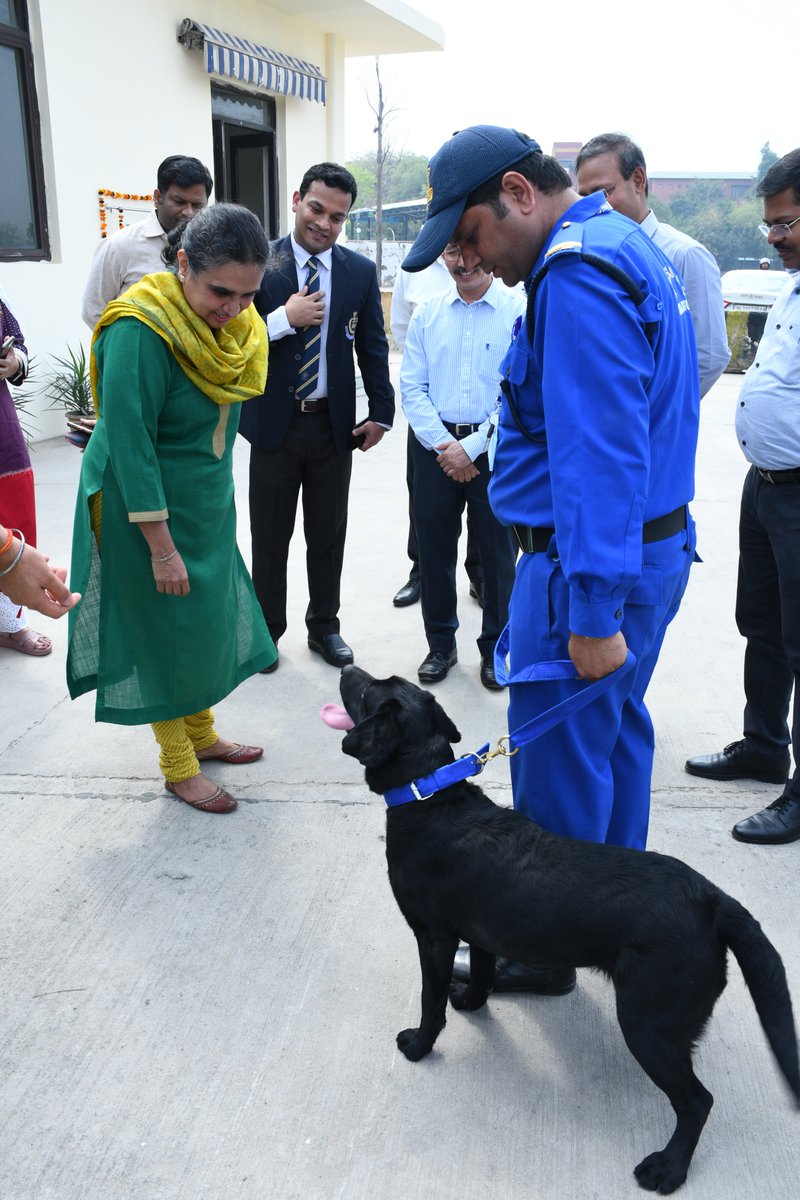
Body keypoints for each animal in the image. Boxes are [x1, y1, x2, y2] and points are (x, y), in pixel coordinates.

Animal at [338, 667, 800, 1190]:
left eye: (368, 689)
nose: (347, 667)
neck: (429, 794)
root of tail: (712, 898)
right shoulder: (480, 930)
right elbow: (481, 973)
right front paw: (473, 1002)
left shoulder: (434, 937)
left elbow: (430, 1001)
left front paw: (418, 1045)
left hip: (648, 1024)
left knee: (698, 1102)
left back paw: (669, 1167)